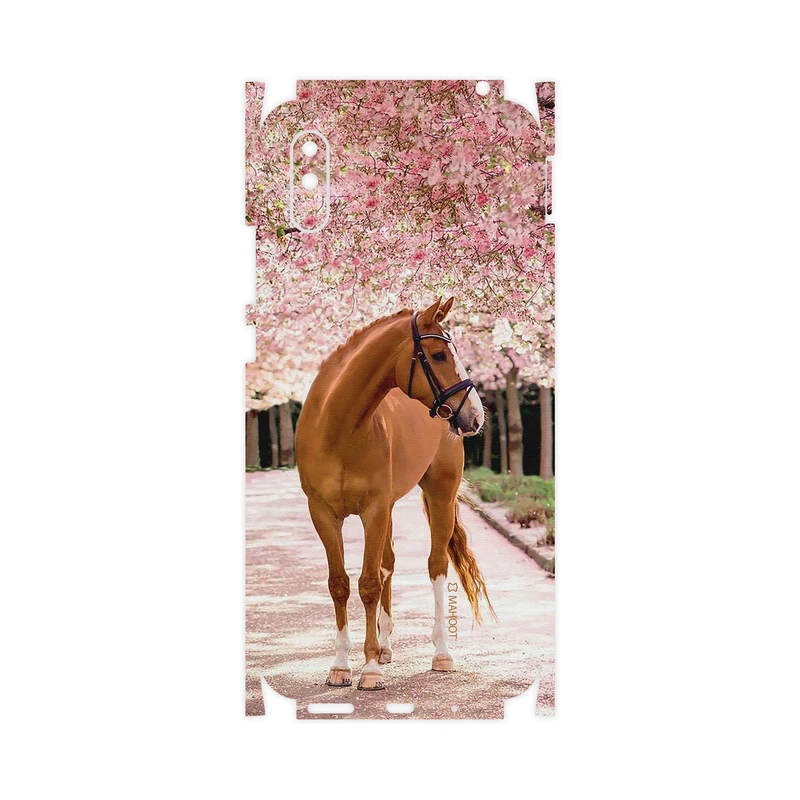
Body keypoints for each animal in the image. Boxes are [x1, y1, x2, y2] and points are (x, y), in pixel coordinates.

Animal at [295, 297, 494, 690]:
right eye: (438, 355)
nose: (476, 416)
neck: (338, 427)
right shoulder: (323, 513)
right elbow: (340, 584)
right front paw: (341, 666)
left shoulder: (373, 510)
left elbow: (369, 583)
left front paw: (369, 669)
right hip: (388, 508)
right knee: (388, 563)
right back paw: (385, 646)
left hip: (439, 494)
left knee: (435, 566)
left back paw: (440, 653)